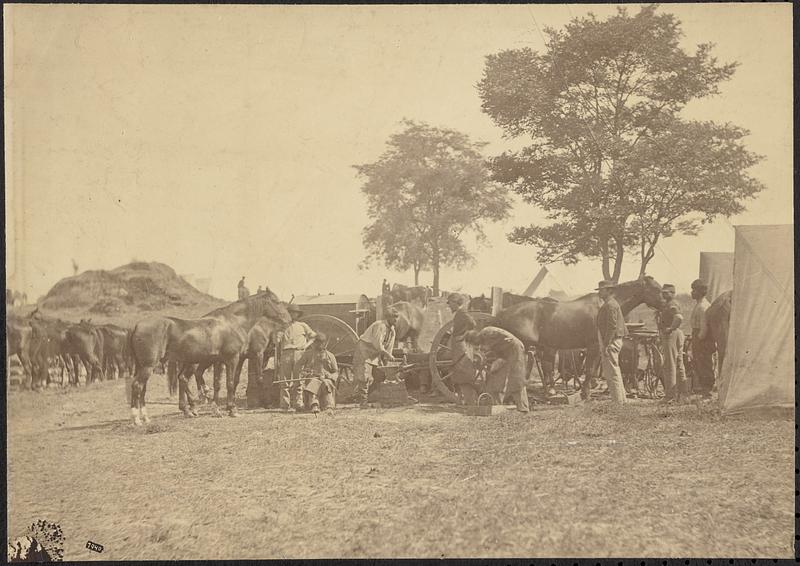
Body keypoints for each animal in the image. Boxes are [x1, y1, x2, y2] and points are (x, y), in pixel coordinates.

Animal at [130, 288, 292, 426]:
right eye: (276, 301)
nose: (288, 319)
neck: (233, 323)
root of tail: (136, 326)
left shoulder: (220, 361)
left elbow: (219, 383)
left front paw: (217, 407)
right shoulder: (235, 359)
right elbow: (231, 383)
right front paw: (232, 409)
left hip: (147, 366)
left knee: (158, 384)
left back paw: (153, 416)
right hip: (150, 366)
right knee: (138, 386)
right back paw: (137, 419)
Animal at [496, 278, 664, 398]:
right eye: (656, 288)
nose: (666, 304)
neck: (603, 304)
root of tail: (503, 312)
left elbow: (593, 369)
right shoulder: (594, 346)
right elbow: (589, 369)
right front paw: (585, 393)